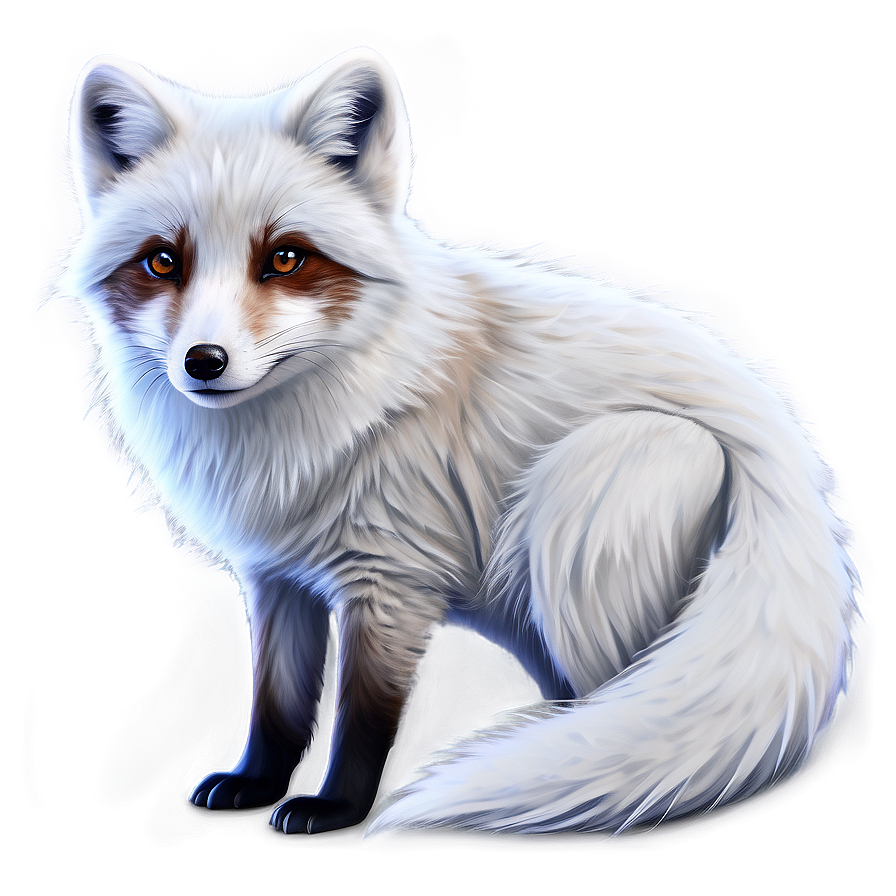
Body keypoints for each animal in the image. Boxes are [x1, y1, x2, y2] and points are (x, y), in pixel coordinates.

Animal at [60, 48, 857, 837]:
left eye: (285, 258)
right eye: (163, 262)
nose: (203, 361)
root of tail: (776, 433)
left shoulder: (391, 579)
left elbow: (361, 713)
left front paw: (335, 809)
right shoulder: (273, 576)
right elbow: (275, 701)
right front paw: (252, 783)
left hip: (586, 496)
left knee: (630, 697)